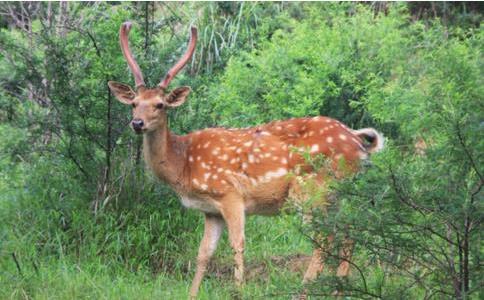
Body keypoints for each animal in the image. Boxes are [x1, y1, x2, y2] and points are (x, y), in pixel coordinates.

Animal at [108, 21, 384, 298]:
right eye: (134, 103)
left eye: (160, 104)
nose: (137, 123)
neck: (182, 164)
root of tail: (359, 142)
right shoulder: (211, 210)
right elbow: (203, 253)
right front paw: (192, 294)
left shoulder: (230, 194)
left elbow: (238, 244)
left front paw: (238, 290)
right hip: (338, 194)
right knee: (348, 232)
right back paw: (339, 288)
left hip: (311, 191)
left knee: (325, 238)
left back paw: (305, 289)